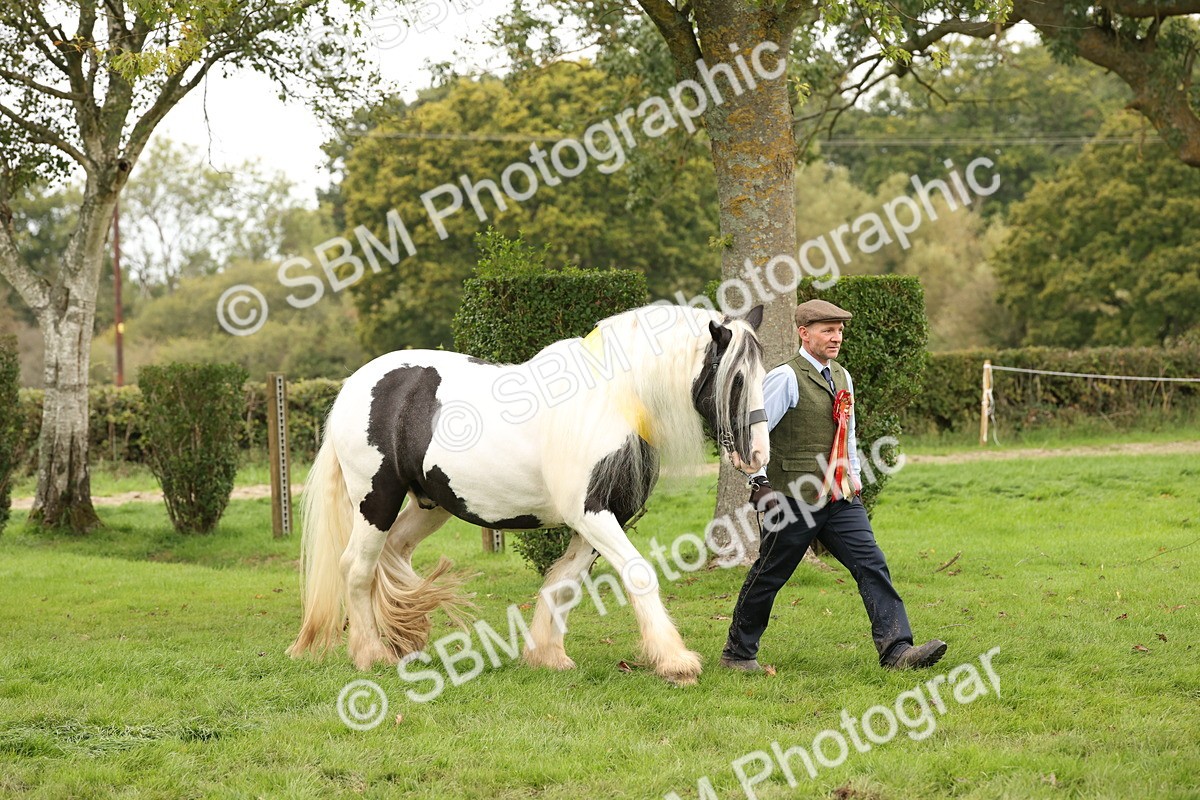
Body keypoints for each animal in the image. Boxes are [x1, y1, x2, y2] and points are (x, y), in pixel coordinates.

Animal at [286, 302, 769, 685]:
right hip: (377, 501)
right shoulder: (591, 513)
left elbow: (564, 583)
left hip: (430, 505)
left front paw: (547, 655)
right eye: (735, 379)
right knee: (357, 568)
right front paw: (676, 661)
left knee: (395, 553)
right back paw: (372, 654)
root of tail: (354, 386)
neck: (612, 399)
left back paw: (407, 634)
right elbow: (637, 573)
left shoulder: (601, 517)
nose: (757, 455)